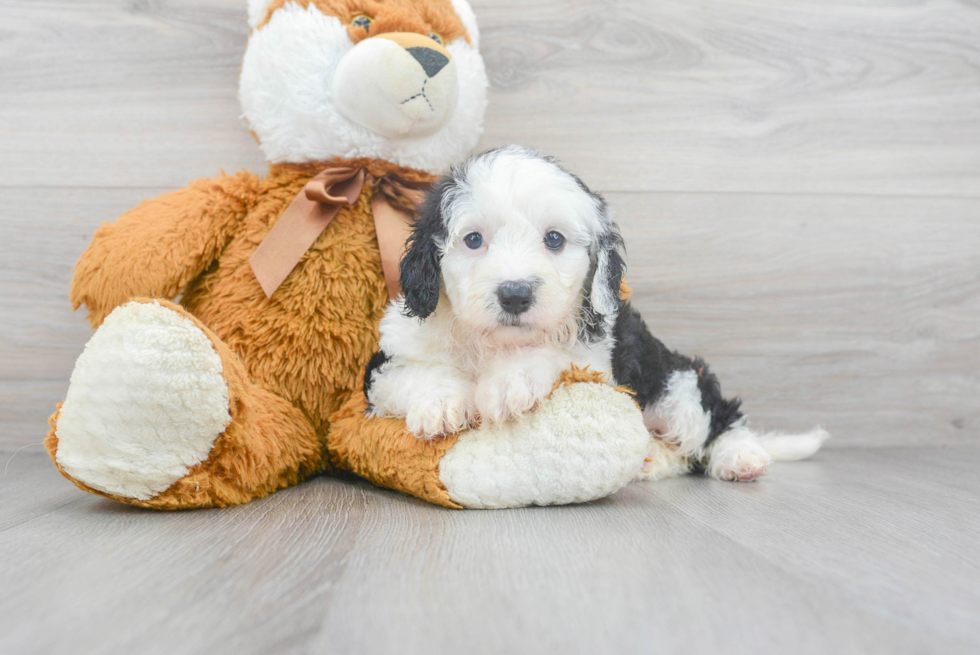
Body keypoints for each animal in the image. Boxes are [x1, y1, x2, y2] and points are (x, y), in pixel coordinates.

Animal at [362, 147, 828, 482]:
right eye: (473, 239)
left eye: (554, 239)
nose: (515, 294)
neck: (492, 342)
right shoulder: (381, 369)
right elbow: (415, 372)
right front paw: (441, 402)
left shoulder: (599, 360)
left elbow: (553, 353)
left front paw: (510, 380)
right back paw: (653, 459)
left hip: (674, 381)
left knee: (717, 418)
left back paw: (741, 457)